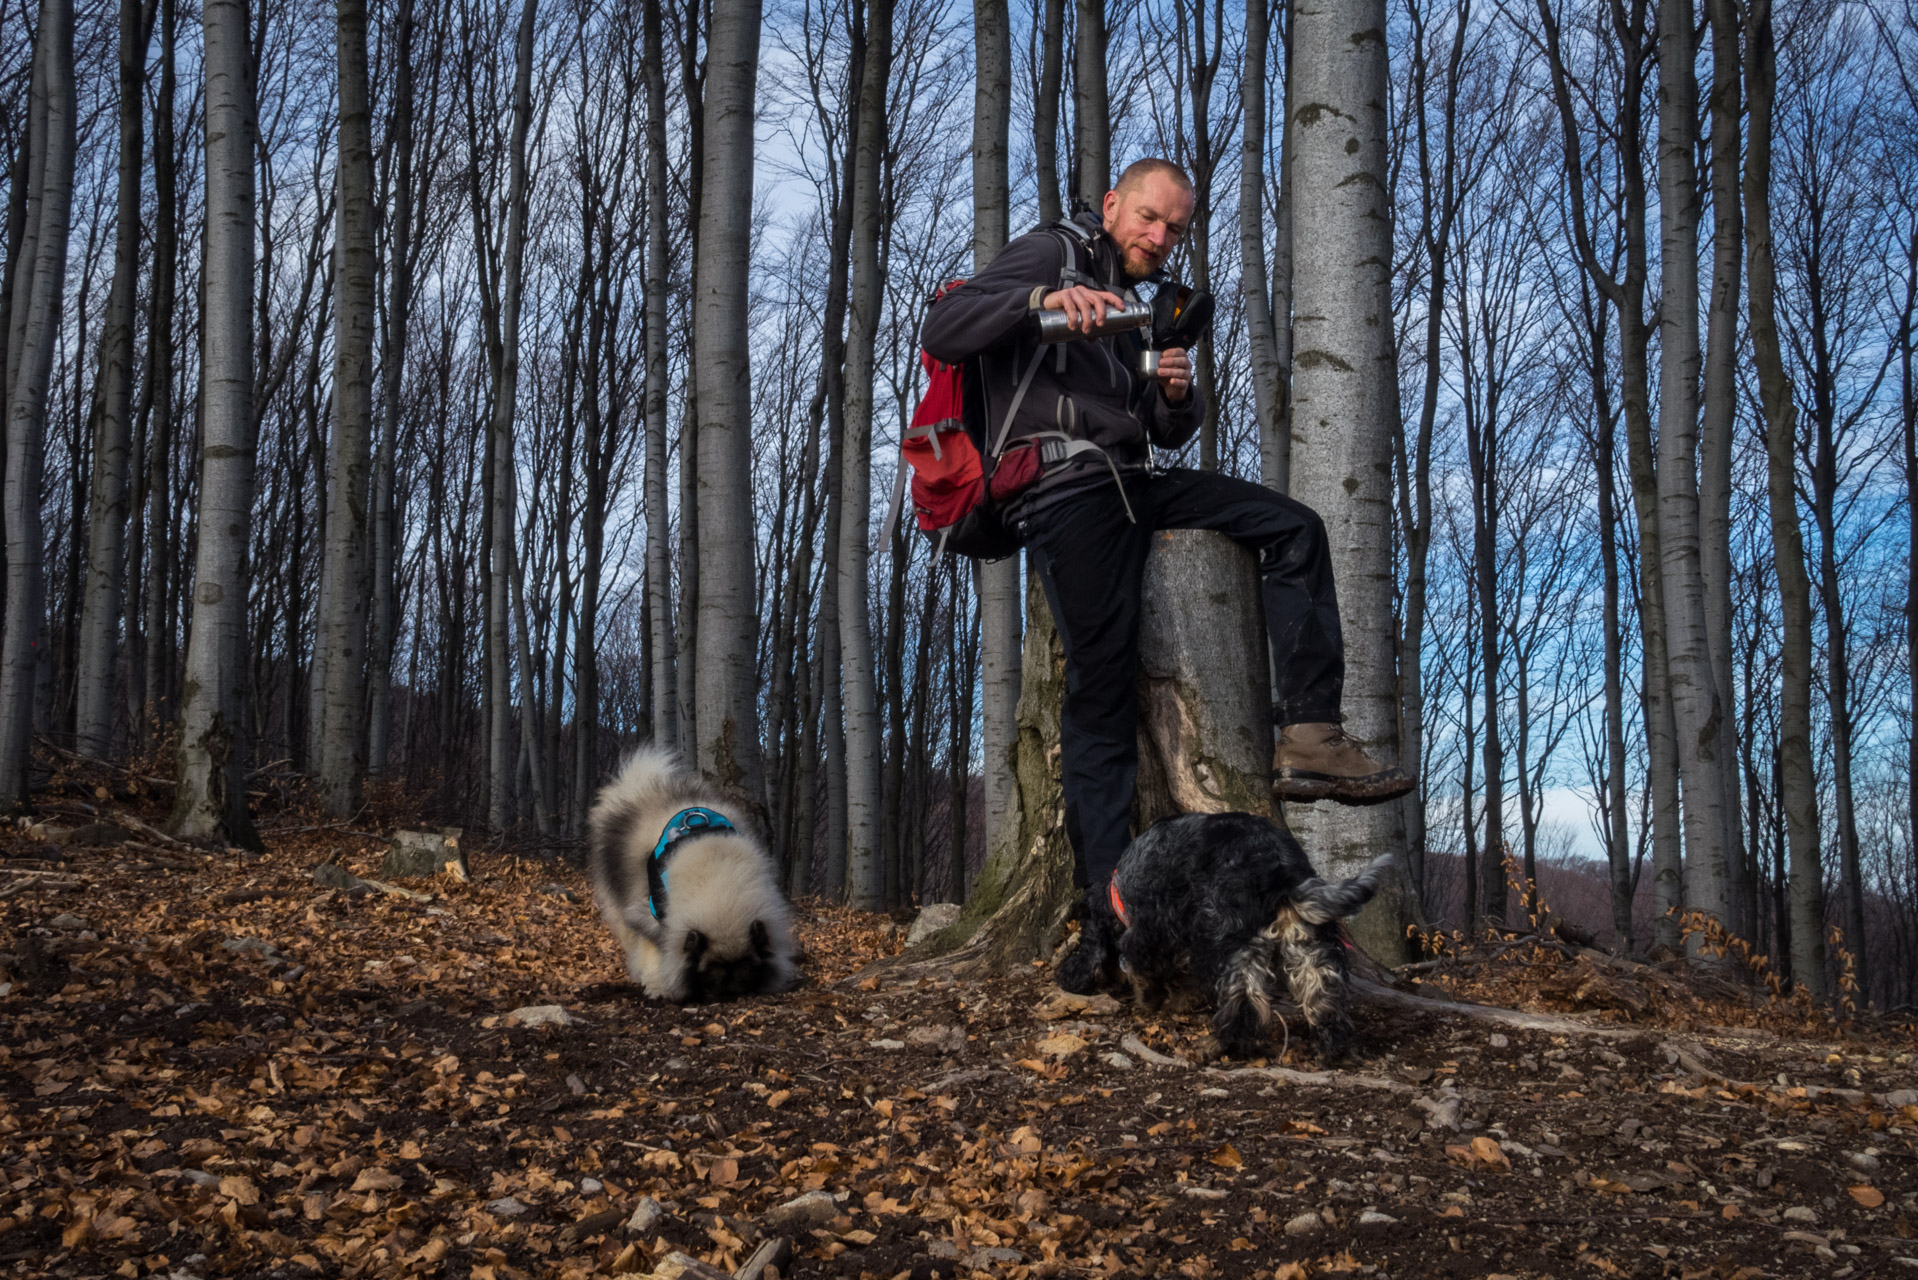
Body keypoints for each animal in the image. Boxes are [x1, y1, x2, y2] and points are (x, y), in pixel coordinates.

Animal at [1058, 817, 1388, 1066]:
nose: (1108, 984)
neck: (1116, 892)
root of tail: (1280, 868)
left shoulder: (1152, 928)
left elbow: (1143, 964)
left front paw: (1151, 999)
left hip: (1227, 937)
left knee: (1243, 1004)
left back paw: (1219, 1046)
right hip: (1307, 940)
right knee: (1323, 993)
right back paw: (1336, 1048)